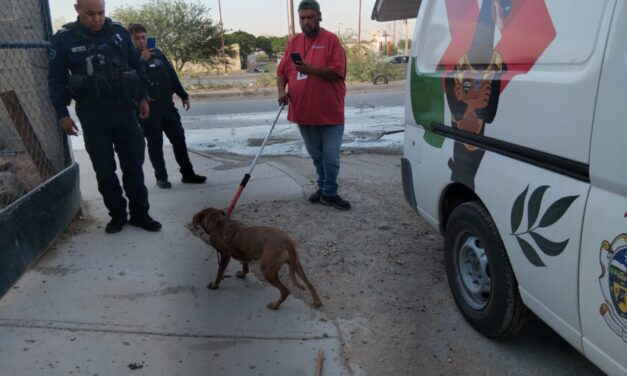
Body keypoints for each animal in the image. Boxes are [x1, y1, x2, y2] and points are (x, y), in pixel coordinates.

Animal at [193, 207, 324, 310]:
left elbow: (220, 272)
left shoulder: (225, 255)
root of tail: (286, 242)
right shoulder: (244, 254)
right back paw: (317, 301)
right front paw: (242, 274)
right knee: (310, 284)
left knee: (285, 291)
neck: (217, 221)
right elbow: (245, 265)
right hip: (296, 264)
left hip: (267, 270)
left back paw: (275, 305)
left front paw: (215, 285)